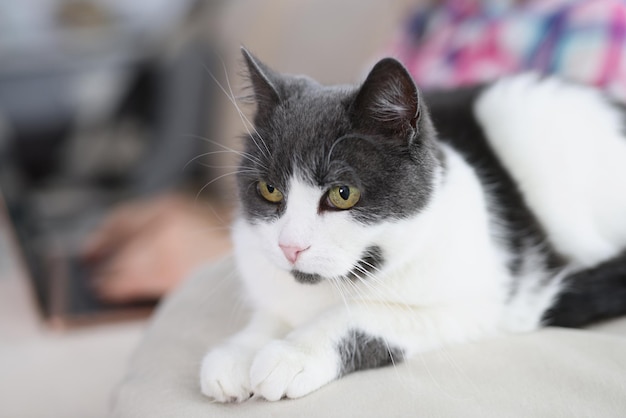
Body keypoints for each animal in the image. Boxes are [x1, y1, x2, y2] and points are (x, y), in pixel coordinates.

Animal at [197, 47, 624, 404]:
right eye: (269, 189)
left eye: (343, 193)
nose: (290, 247)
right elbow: (271, 311)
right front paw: (238, 352)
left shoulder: (475, 305)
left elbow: (363, 314)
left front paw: (291, 353)